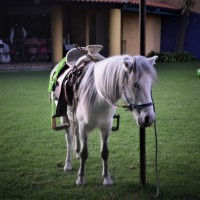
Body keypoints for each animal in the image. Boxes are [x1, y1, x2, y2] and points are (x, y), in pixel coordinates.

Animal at [55, 53, 157, 186]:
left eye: (150, 84)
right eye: (135, 84)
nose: (149, 118)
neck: (98, 96)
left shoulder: (106, 127)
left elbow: (105, 152)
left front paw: (107, 179)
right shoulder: (84, 128)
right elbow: (84, 153)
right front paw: (81, 179)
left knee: (75, 134)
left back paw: (76, 153)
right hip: (65, 118)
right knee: (69, 139)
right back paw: (68, 164)